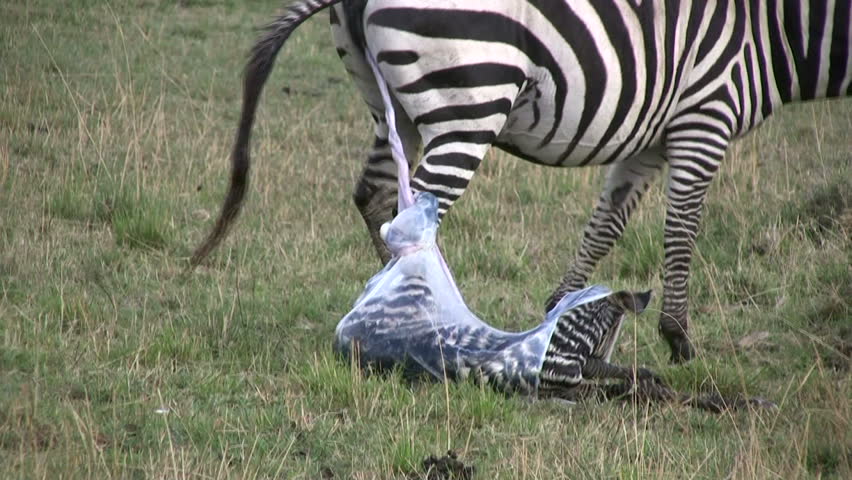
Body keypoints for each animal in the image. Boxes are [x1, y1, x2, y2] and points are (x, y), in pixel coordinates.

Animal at [191, 0, 852, 363]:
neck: (779, 28)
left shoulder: (649, 139)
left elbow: (606, 225)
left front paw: (561, 309)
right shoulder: (705, 114)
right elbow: (683, 228)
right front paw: (679, 337)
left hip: (389, 107)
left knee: (375, 197)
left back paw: (399, 318)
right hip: (469, 99)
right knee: (410, 214)